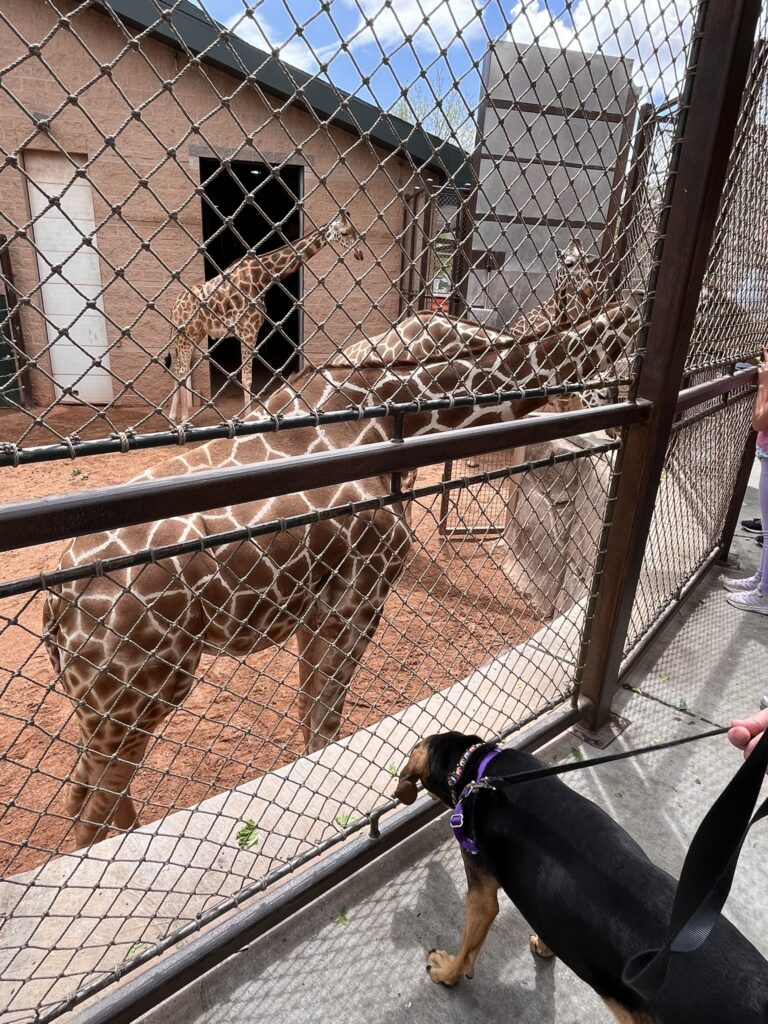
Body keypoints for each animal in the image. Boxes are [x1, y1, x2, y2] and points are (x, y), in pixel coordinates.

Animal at [44, 301, 639, 847]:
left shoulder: (316, 612)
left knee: (88, 795)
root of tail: (55, 609)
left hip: (106, 704)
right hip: (139, 691)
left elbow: (311, 724)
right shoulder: (359, 603)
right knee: (90, 807)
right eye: (603, 375)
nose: (602, 418)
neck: (395, 412)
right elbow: (326, 726)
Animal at [166, 210, 364, 423]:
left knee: (179, 369)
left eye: (355, 231)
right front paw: (246, 417)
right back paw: (184, 418)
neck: (262, 276)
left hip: (192, 336)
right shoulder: (248, 331)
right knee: (180, 371)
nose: (360, 254)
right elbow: (247, 378)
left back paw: (173, 416)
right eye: (344, 233)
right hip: (187, 336)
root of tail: (173, 308)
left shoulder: (251, 331)